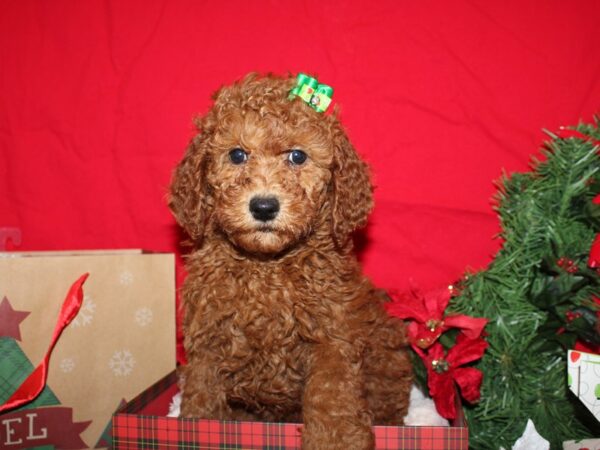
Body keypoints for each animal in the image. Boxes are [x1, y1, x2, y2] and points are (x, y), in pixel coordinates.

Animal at [169, 74, 412, 450]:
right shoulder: (208, 336)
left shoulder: (332, 336)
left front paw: (334, 441)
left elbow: (331, 396)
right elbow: (202, 393)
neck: (267, 265)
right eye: (237, 154)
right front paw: (197, 429)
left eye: (297, 156)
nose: (264, 206)